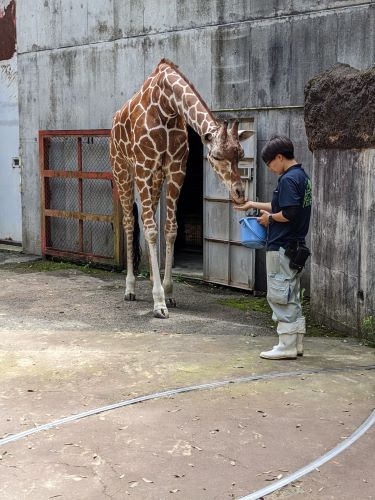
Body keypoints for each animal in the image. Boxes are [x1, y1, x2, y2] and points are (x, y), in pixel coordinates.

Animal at [110, 57, 254, 316]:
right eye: (216, 156)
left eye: (240, 154)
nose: (239, 193)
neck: (167, 106)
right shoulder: (144, 167)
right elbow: (151, 230)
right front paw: (159, 302)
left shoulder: (176, 169)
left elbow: (170, 229)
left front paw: (168, 292)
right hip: (122, 169)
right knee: (129, 221)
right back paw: (130, 288)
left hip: (156, 177)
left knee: (146, 219)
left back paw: (149, 281)